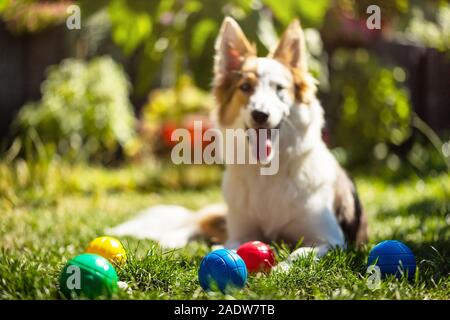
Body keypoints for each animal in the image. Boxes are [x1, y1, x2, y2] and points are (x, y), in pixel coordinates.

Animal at [108, 15, 366, 270]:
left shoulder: (331, 240)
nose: (260, 114)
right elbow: (231, 246)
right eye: (245, 87)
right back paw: (173, 239)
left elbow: (301, 252)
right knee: (195, 222)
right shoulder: (241, 232)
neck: (267, 173)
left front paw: (281, 268)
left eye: (280, 89)